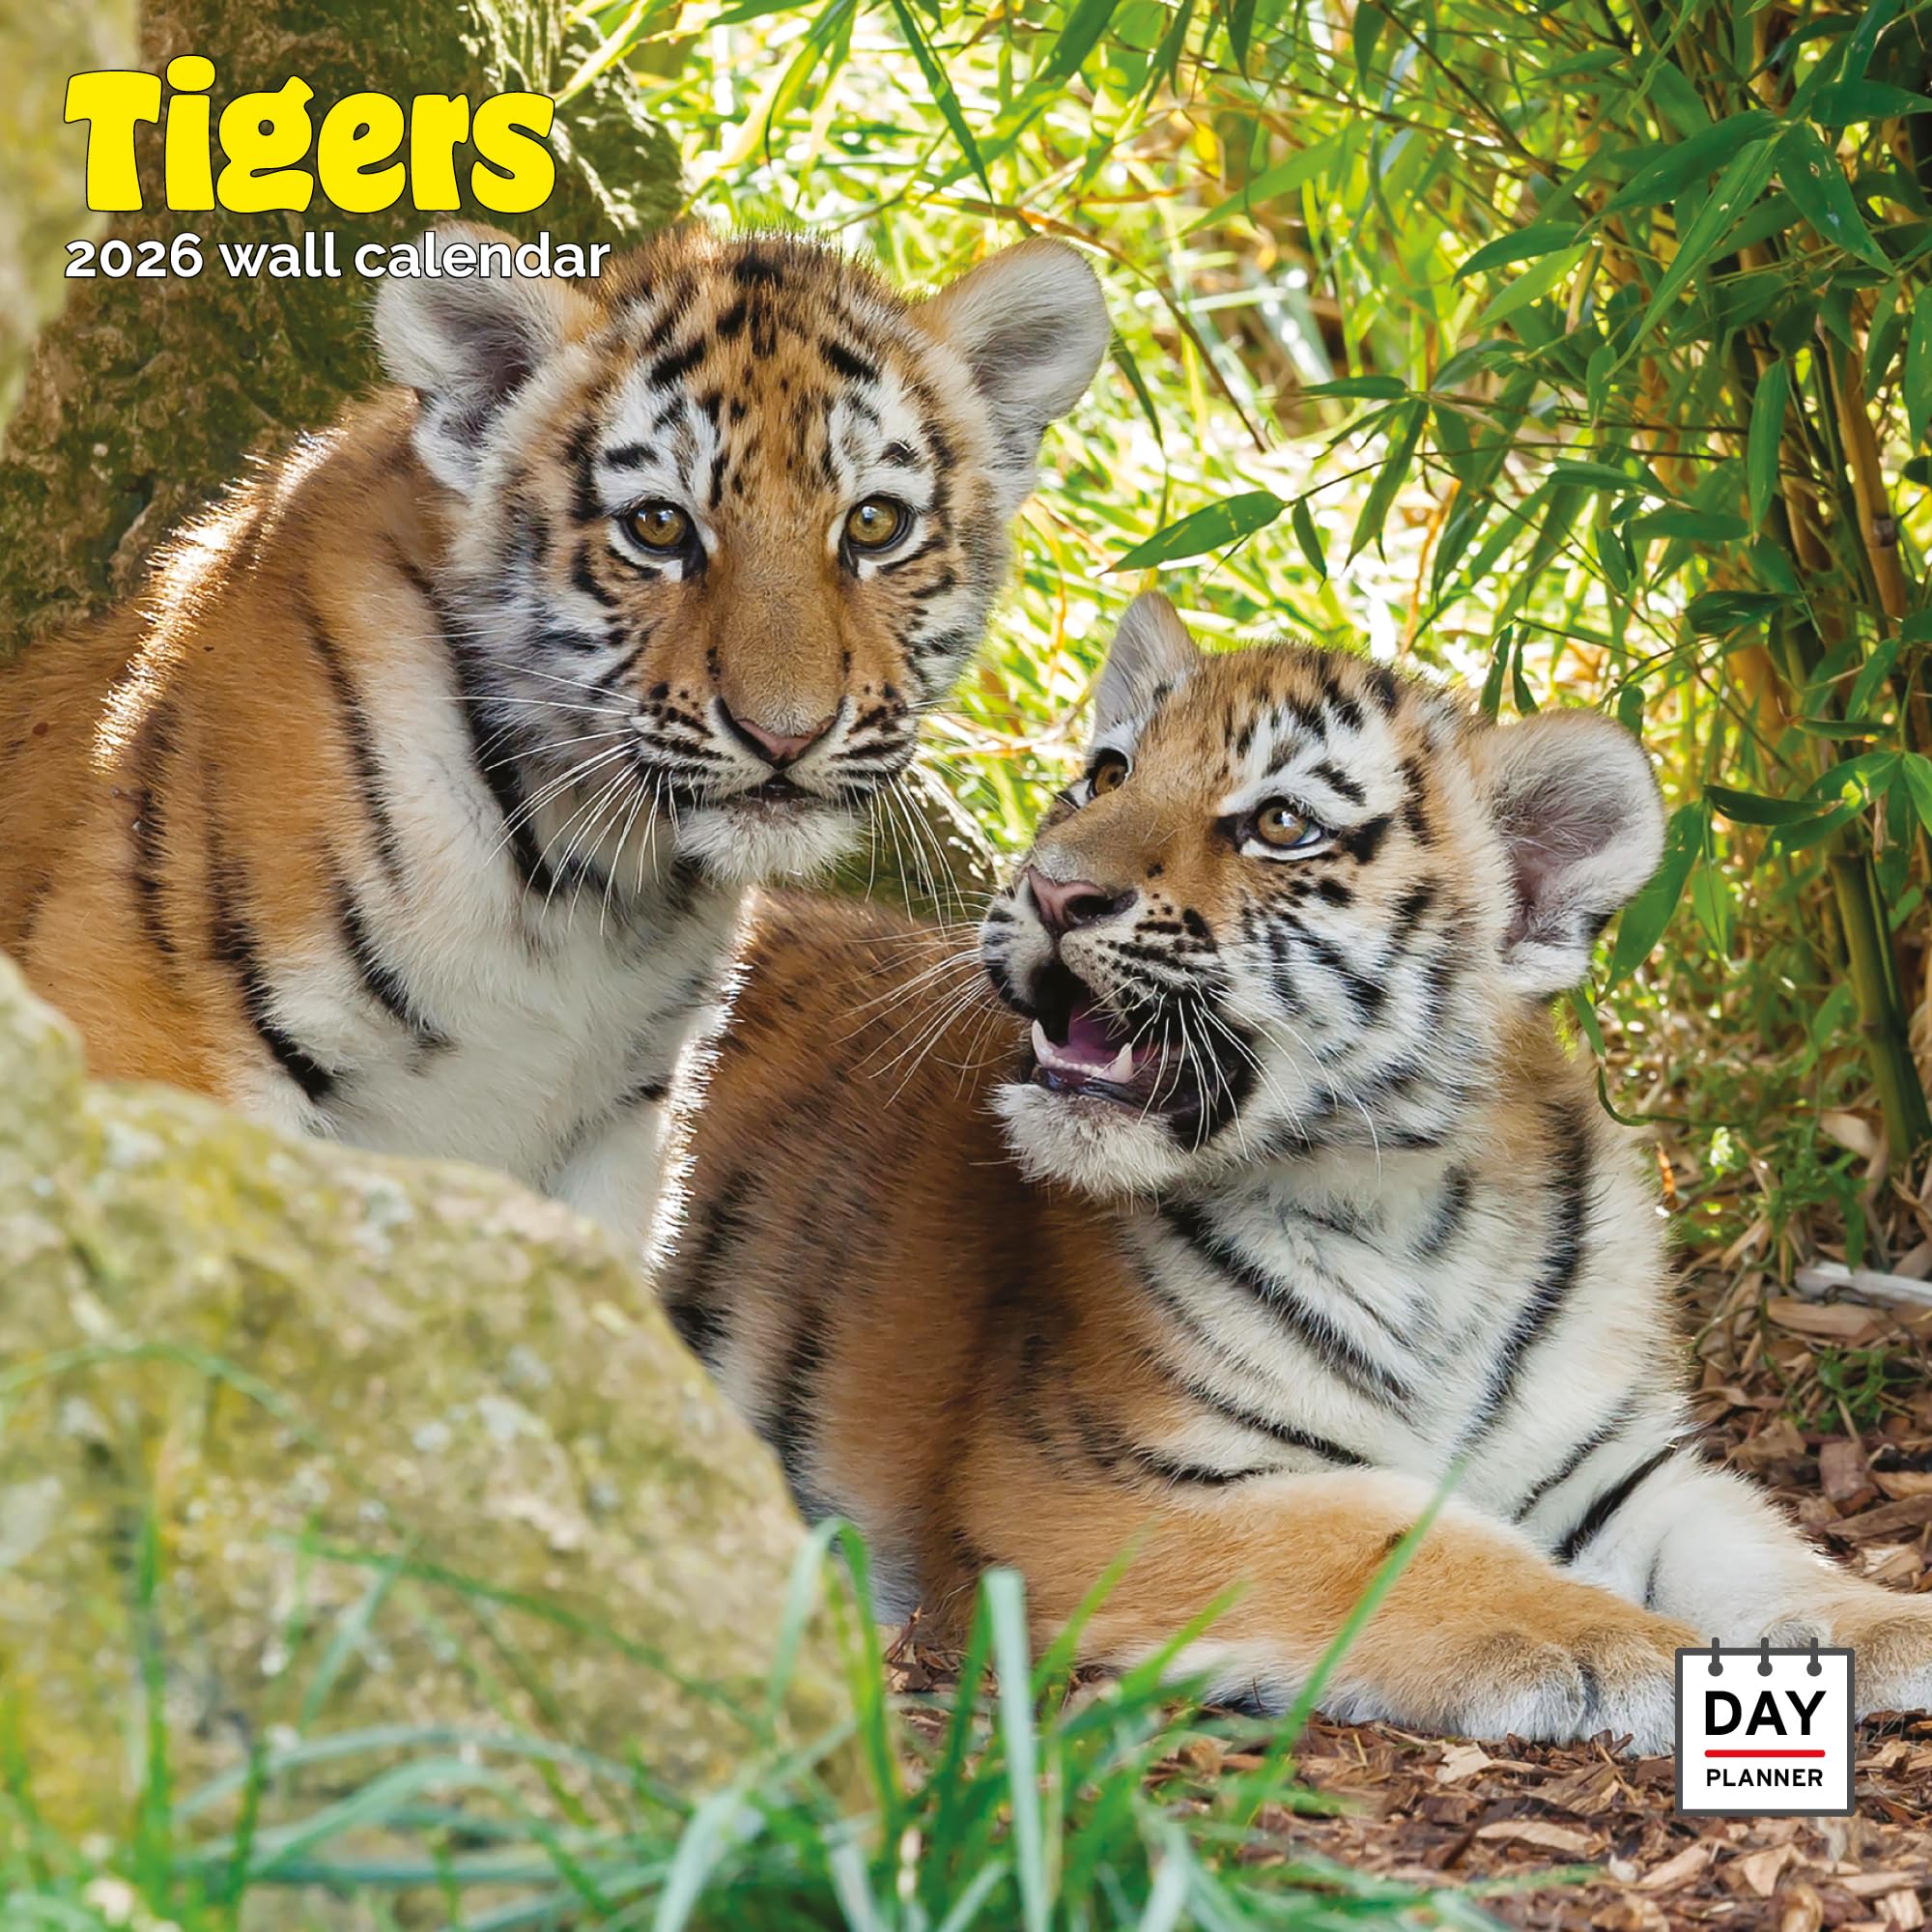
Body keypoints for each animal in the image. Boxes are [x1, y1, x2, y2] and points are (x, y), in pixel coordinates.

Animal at [0, 222, 1108, 1247]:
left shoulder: (617, 1129)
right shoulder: (149, 1022)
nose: (784, 734)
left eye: (875, 525)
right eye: (657, 527)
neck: (585, 884)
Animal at [660, 590, 1932, 1748]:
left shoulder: (1617, 1463)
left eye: (1279, 823)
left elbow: (1748, 1541)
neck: (1414, 1213)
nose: (1049, 886)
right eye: (1102, 775)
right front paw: (1610, 1641)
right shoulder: (1095, 1479)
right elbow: (1401, 1544)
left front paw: (1886, 1620)